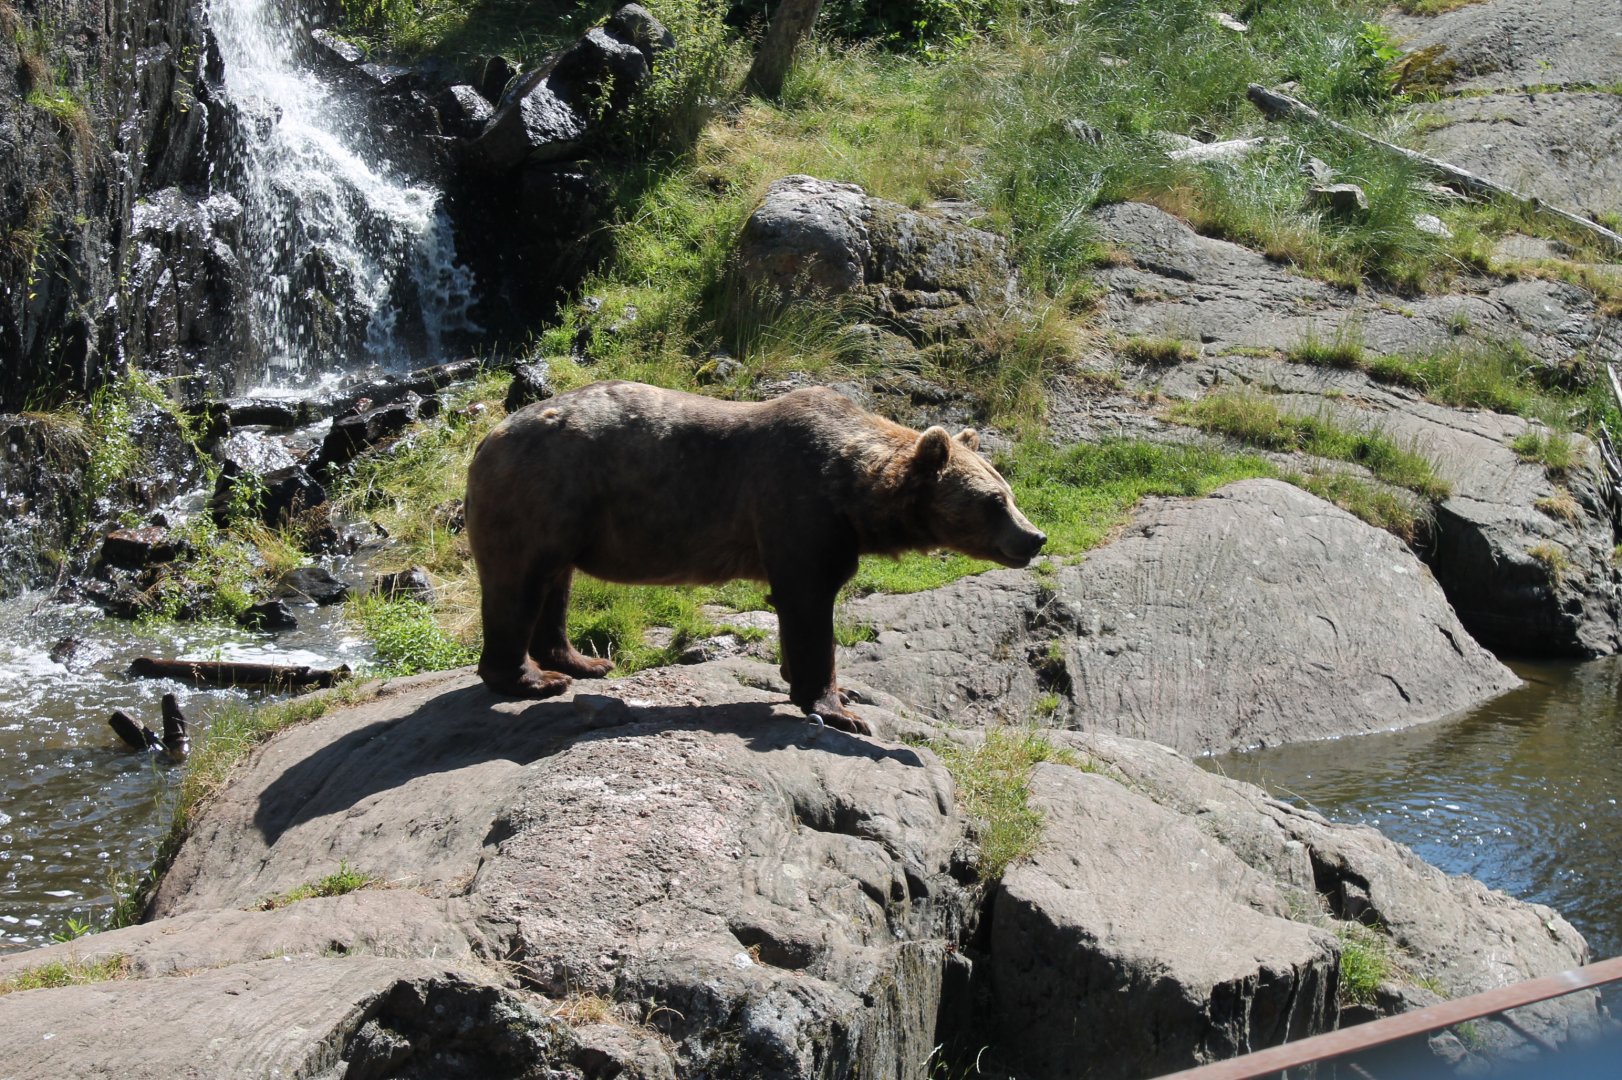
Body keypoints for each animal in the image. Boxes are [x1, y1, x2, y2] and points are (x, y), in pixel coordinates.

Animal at [464, 380, 1046, 734]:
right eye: (994, 502)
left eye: (1009, 492)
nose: (1035, 537)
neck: (854, 494)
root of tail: (489, 434)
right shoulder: (797, 503)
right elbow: (808, 603)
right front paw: (839, 708)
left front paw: (812, 681)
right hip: (542, 493)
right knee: (519, 583)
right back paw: (534, 678)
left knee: (555, 585)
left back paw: (584, 661)